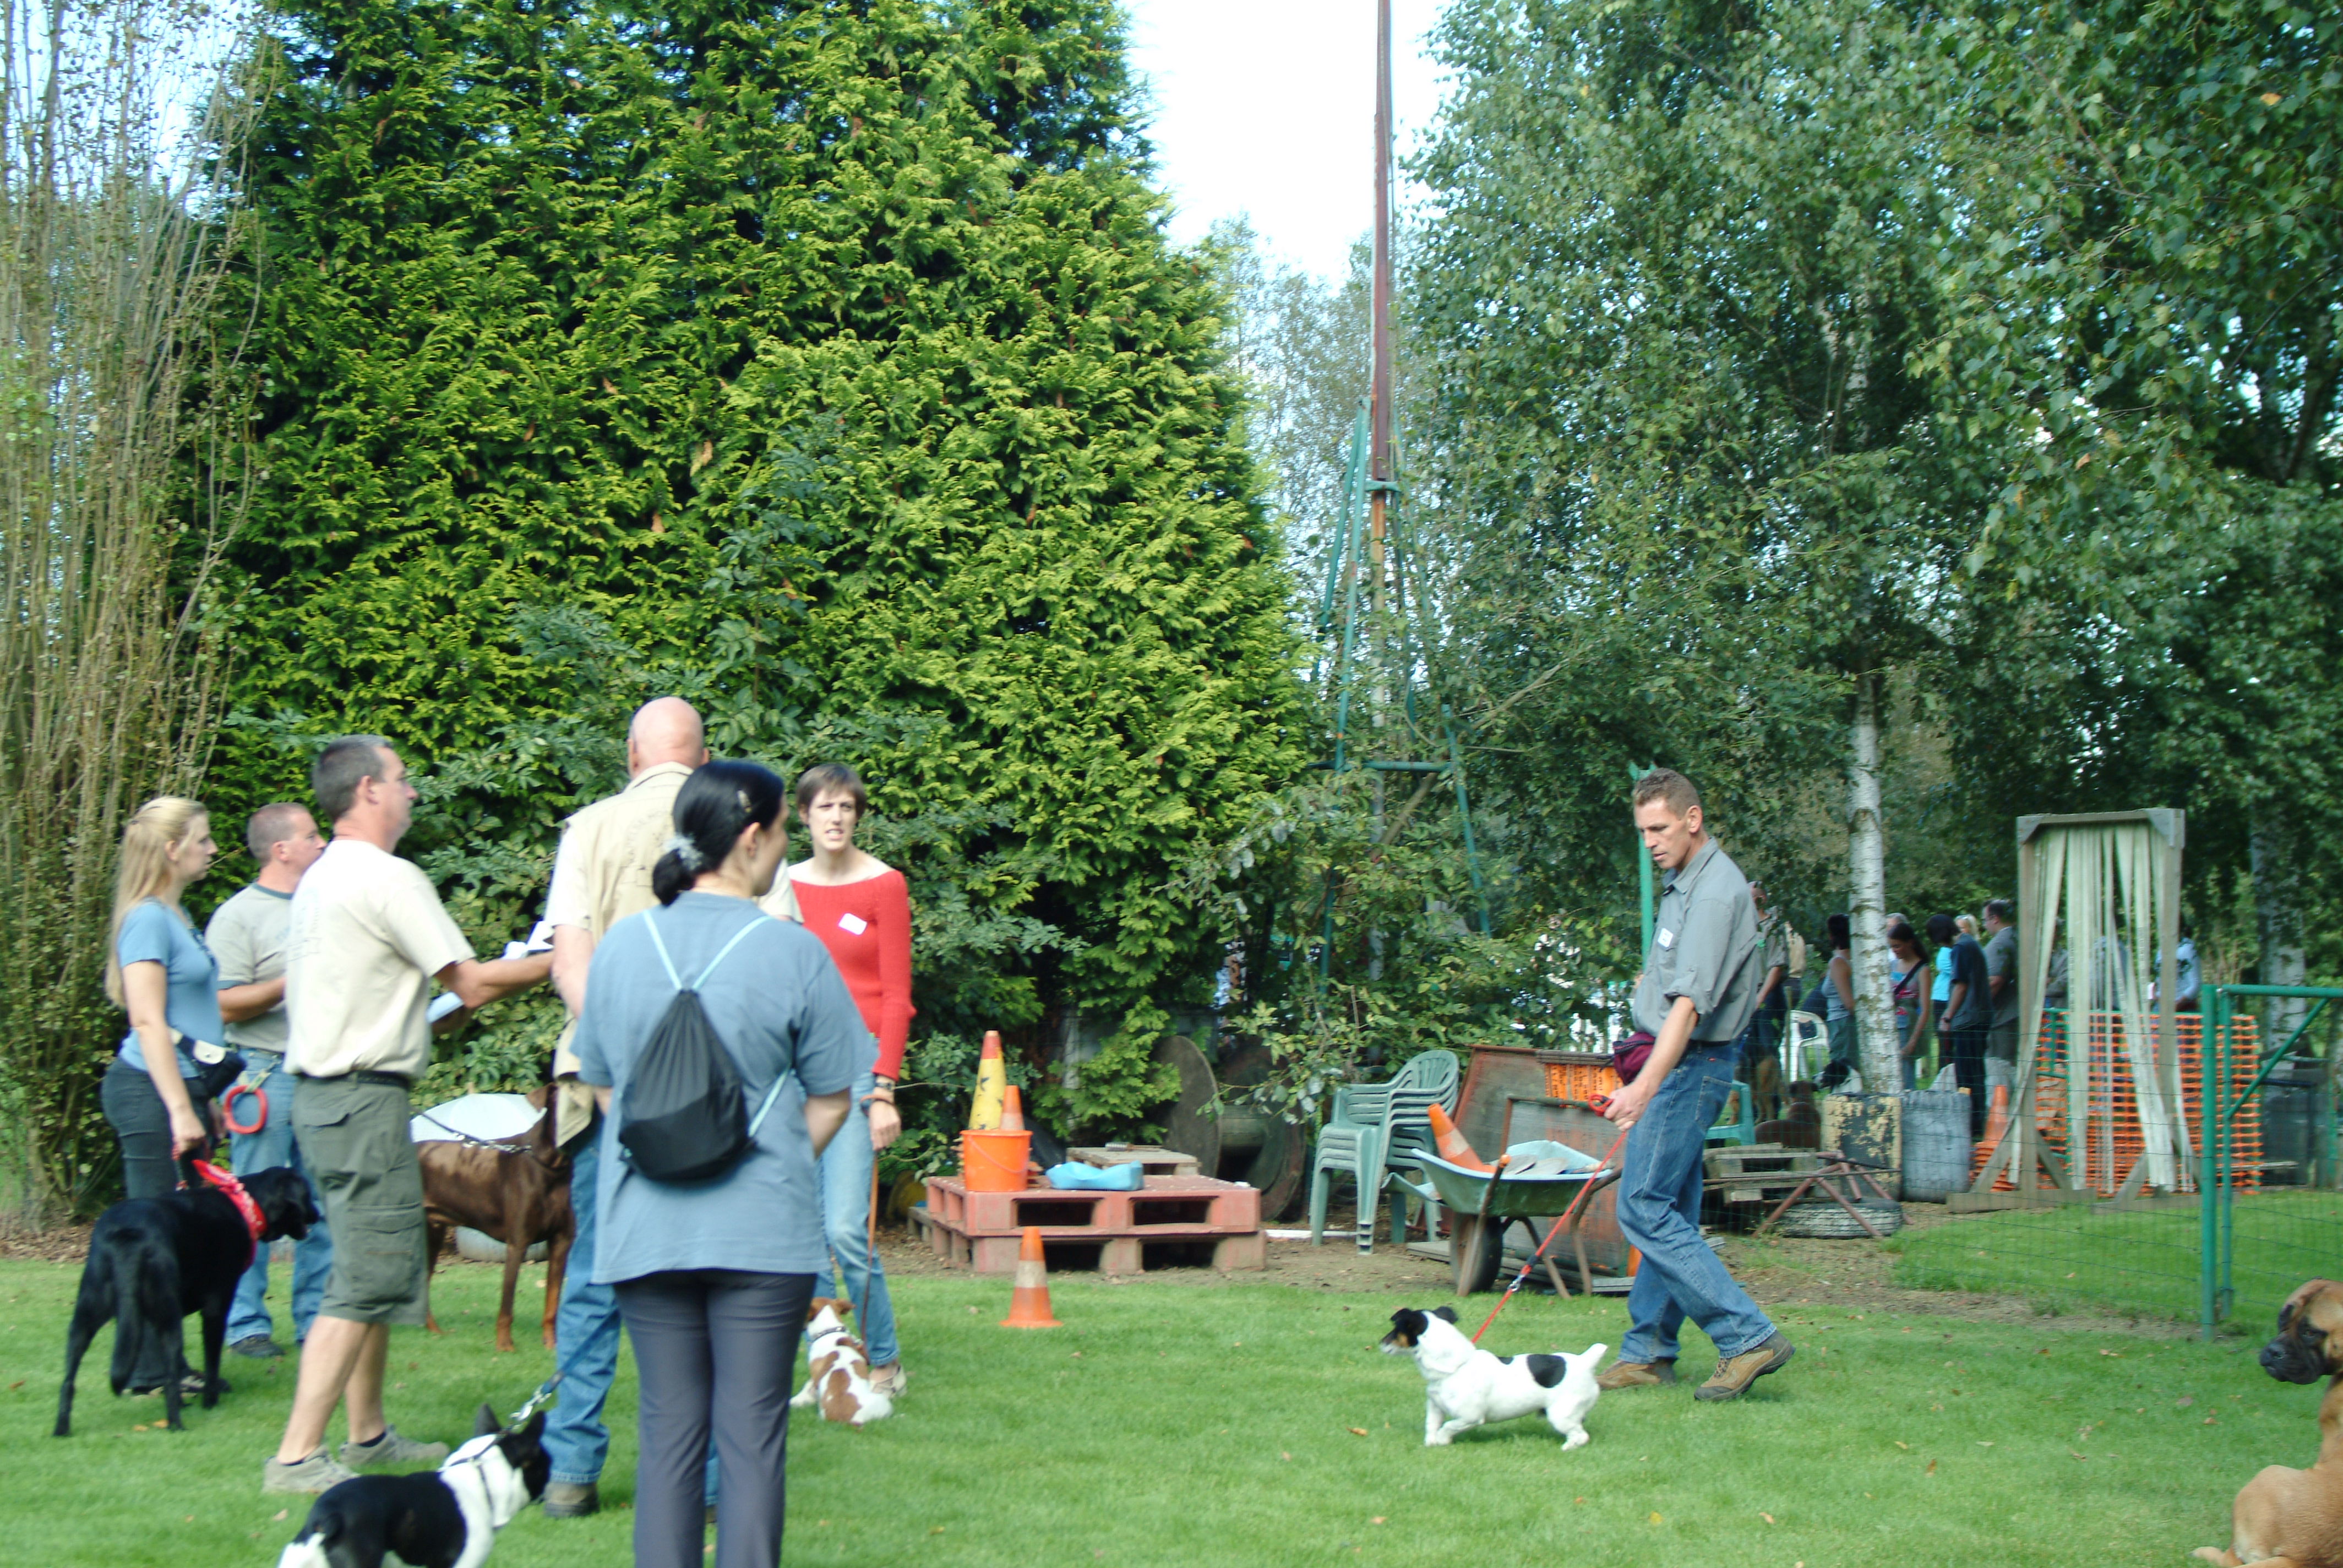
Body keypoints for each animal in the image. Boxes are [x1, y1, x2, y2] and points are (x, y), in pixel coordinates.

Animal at [55, 1161, 319, 1436]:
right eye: (308, 1195)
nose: (319, 1215)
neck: (247, 1203)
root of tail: (129, 1235)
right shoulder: (216, 1308)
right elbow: (211, 1363)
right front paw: (210, 1402)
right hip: (169, 1319)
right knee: (172, 1378)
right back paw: (176, 1425)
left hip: (86, 1315)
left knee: (68, 1380)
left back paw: (62, 1430)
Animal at [419, 1088, 574, 1352]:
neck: (551, 1168)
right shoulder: (518, 1242)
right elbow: (507, 1303)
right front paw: (504, 1346)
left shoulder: (562, 1241)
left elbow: (552, 1303)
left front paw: (552, 1345)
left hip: (433, 1233)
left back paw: (435, 1332)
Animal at [1379, 1305, 1605, 1448]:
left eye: (1395, 1330)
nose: (1381, 1342)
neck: (1455, 1366)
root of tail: (1585, 1362)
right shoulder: (1435, 1408)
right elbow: (1432, 1426)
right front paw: (1431, 1443)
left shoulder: (1469, 1418)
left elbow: (1447, 1427)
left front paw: (1443, 1441)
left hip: (1561, 1415)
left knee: (1581, 1435)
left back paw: (1569, 1446)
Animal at [2195, 1278, 2343, 1568]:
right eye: (2282, 1319)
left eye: (2310, 1332)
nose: (2274, 1351)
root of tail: (2297, 1559)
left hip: (2265, 1478)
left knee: (2230, 1558)